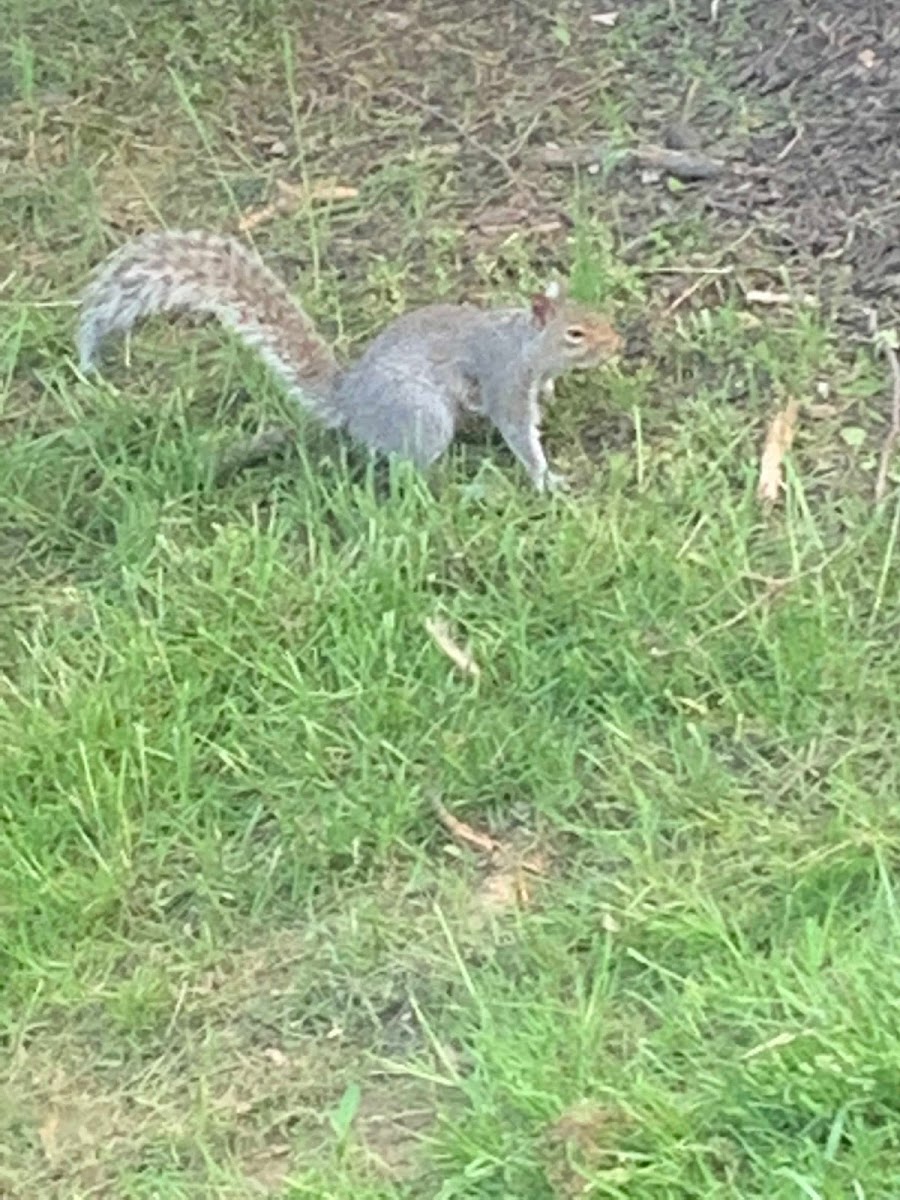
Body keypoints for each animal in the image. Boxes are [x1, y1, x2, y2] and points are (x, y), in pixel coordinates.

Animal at [77, 226, 624, 489]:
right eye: (575, 333)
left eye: (598, 313)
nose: (618, 342)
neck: (525, 345)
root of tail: (351, 404)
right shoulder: (503, 379)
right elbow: (517, 430)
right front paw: (546, 479)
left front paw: (550, 399)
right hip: (420, 416)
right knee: (408, 468)